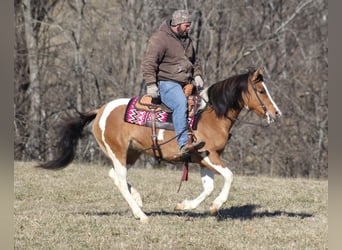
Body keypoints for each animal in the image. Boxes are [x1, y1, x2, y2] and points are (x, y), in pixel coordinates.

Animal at [37, 67, 282, 222]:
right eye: (261, 91)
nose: (277, 113)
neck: (211, 114)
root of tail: (100, 110)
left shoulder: (203, 158)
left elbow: (208, 187)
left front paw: (184, 206)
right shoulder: (210, 154)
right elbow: (229, 176)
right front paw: (215, 206)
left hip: (131, 153)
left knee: (114, 175)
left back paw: (138, 200)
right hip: (118, 152)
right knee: (120, 179)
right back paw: (141, 215)